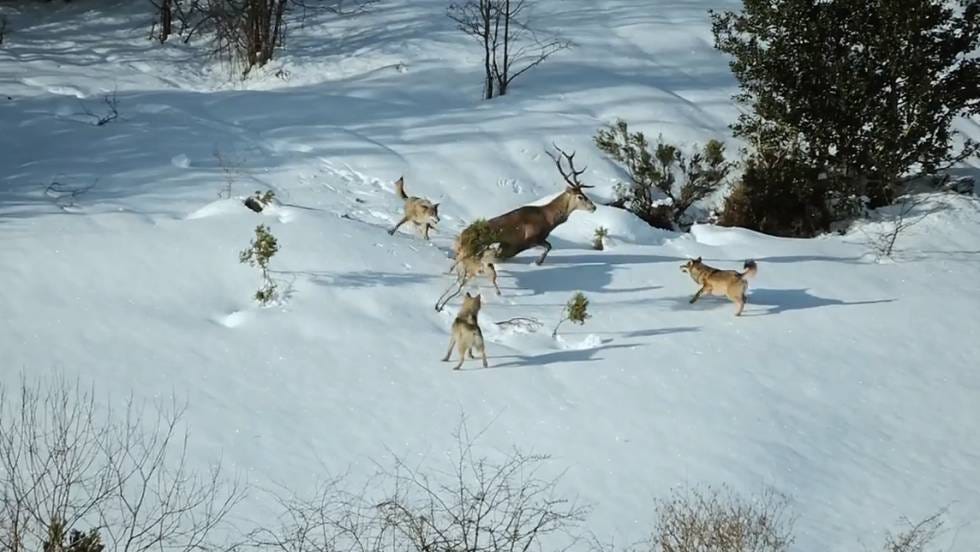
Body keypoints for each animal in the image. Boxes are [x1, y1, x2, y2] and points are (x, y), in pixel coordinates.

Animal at [453, 145, 597, 266]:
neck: (549, 219)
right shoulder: (529, 239)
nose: (593, 207)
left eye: (584, 194)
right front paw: (538, 262)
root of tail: (460, 239)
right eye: (580, 196)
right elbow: (549, 246)